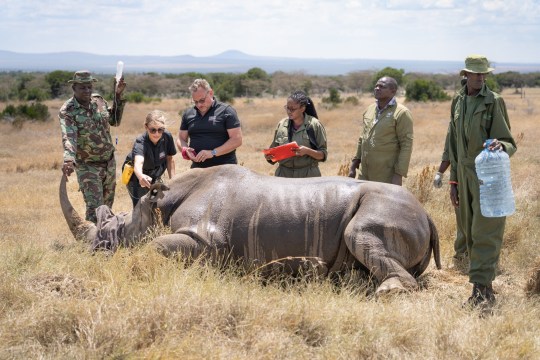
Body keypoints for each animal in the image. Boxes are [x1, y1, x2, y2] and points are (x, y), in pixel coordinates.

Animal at [60, 165, 438, 294]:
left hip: (388, 211)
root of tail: (427, 214)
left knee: (359, 233)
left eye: (114, 236)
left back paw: (385, 292)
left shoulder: (206, 240)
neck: (157, 206)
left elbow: (155, 247)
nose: (92, 255)